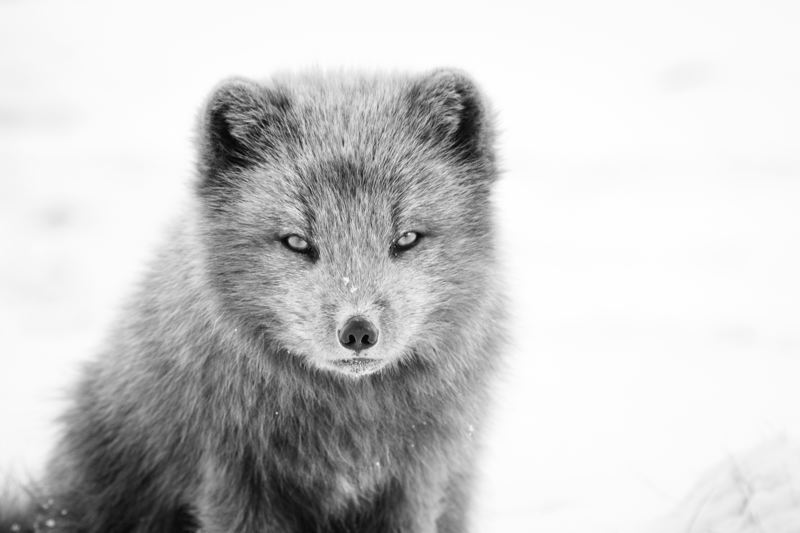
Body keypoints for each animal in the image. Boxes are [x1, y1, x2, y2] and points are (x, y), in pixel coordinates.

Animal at [1, 69, 504, 533]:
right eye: (297, 241)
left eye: (406, 238)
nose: (358, 332)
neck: (348, 431)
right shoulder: (233, 480)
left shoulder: (414, 482)